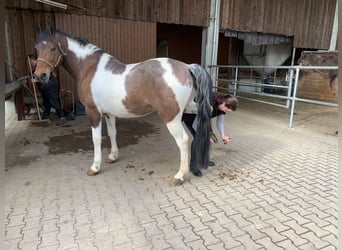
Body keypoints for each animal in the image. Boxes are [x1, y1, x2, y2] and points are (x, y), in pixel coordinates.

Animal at [33, 28, 212, 185]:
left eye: (52, 48)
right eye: (36, 49)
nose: (40, 76)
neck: (89, 68)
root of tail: (187, 67)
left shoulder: (93, 112)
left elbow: (96, 139)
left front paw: (94, 167)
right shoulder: (109, 114)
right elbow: (112, 133)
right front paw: (113, 157)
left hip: (171, 117)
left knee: (183, 140)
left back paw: (179, 176)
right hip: (189, 108)